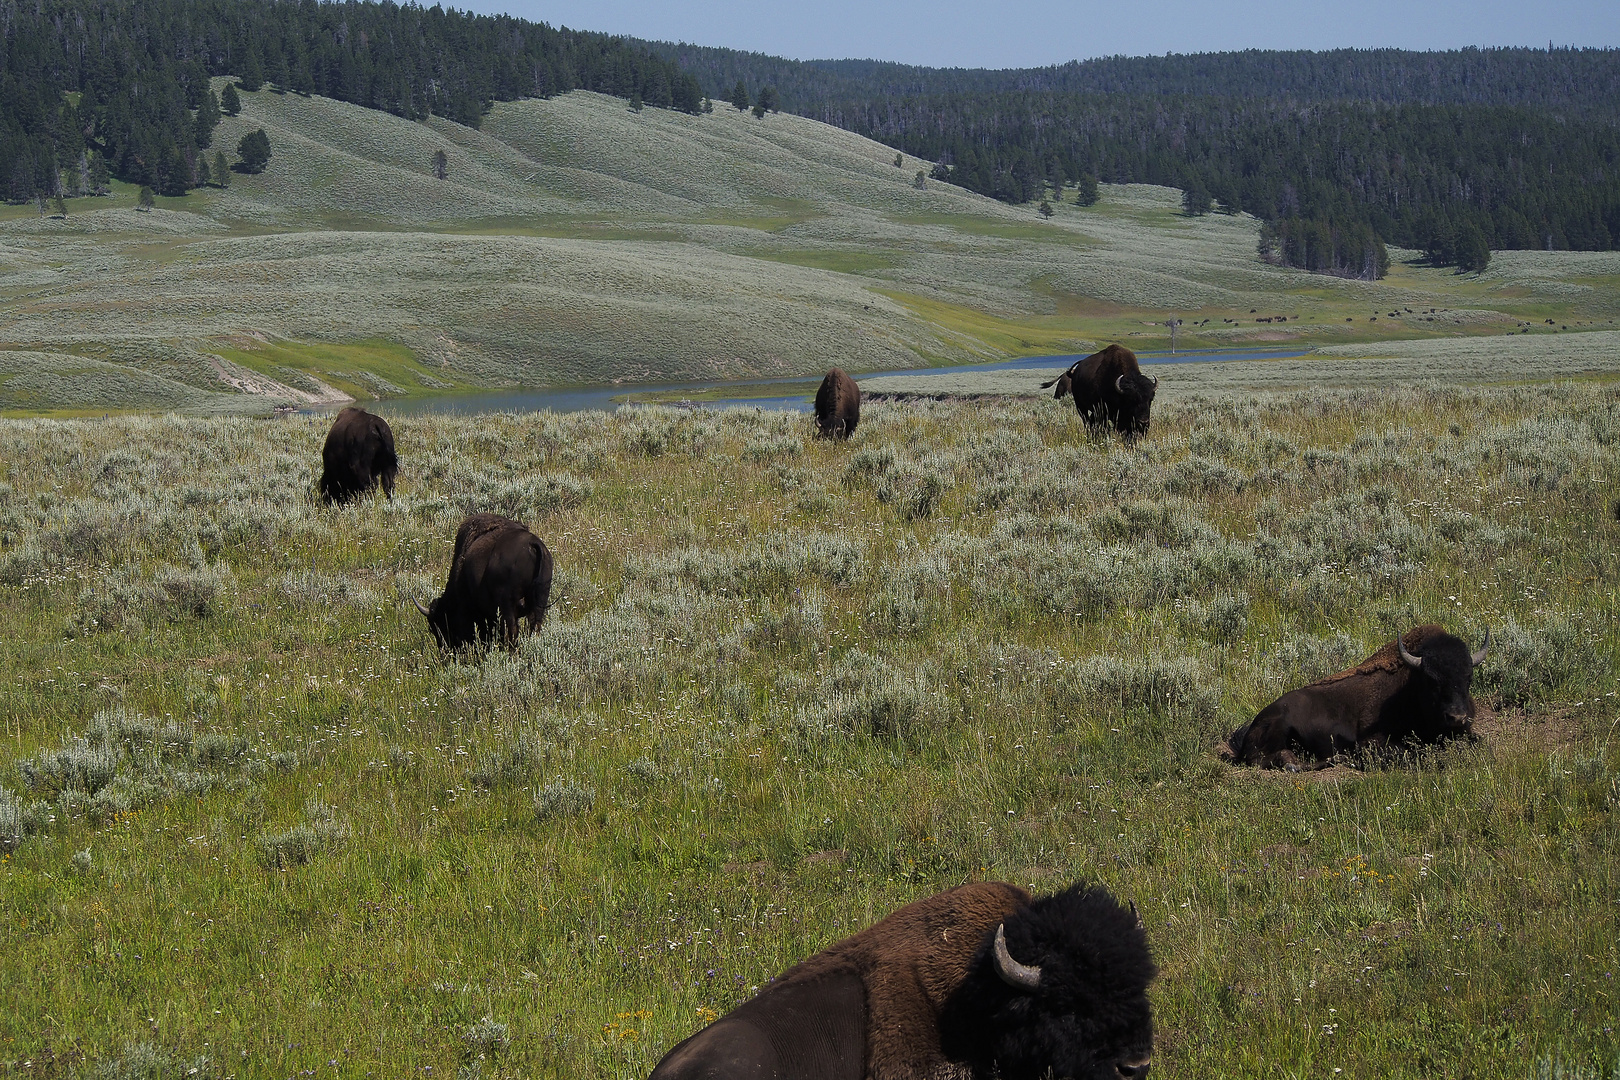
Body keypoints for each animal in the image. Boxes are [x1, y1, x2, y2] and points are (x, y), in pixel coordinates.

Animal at [417, 514, 557, 650]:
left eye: (441, 625)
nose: (445, 650)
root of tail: (532, 545)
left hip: (507, 608)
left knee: (512, 633)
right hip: (537, 604)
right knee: (533, 627)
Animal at [1224, 621, 1490, 773]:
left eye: (1468, 678)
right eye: (1431, 680)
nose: (1457, 717)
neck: (1409, 687)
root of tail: (1253, 726)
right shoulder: (1372, 741)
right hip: (1280, 729)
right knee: (1281, 760)